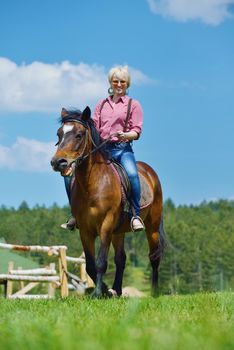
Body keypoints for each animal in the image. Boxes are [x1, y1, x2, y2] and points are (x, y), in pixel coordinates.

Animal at [50, 107, 165, 298]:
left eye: (79, 135)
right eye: (59, 134)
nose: (58, 162)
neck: (93, 184)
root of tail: (150, 172)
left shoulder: (106, 224)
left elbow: (101, 261)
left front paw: (98, 293)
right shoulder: (85, 229)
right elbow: (90, 265)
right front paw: (104, 289)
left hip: (152, 226)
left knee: (154, 256)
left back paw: (155, 292)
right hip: (119, 231)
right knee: (121, 259)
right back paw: (116, 290)